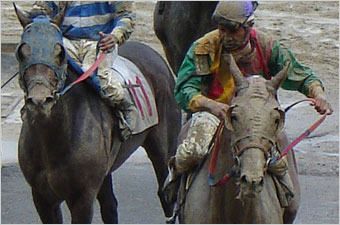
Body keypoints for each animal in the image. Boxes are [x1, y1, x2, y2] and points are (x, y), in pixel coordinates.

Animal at [14, 4, 182, 224]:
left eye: (60, 53)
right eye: (21, 52)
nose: (40, 101)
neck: (53, 138)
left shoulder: (82, 197)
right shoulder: (42, 198)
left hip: (163, 148)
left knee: (166, 195)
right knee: (110, 206)